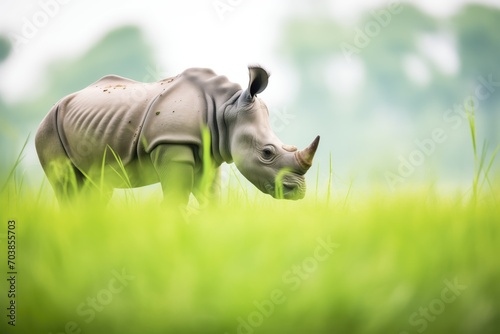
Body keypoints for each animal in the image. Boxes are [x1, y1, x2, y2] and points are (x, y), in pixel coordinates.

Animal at [37, 65, 322, 206]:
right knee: (66, 185)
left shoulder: (209, 155)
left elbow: (212, 199)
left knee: (97, 188)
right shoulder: (172, 142)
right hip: (48, 127)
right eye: (267, 152)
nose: (298, 192)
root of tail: (55, 105)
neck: (226, 109)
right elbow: (176, 199)